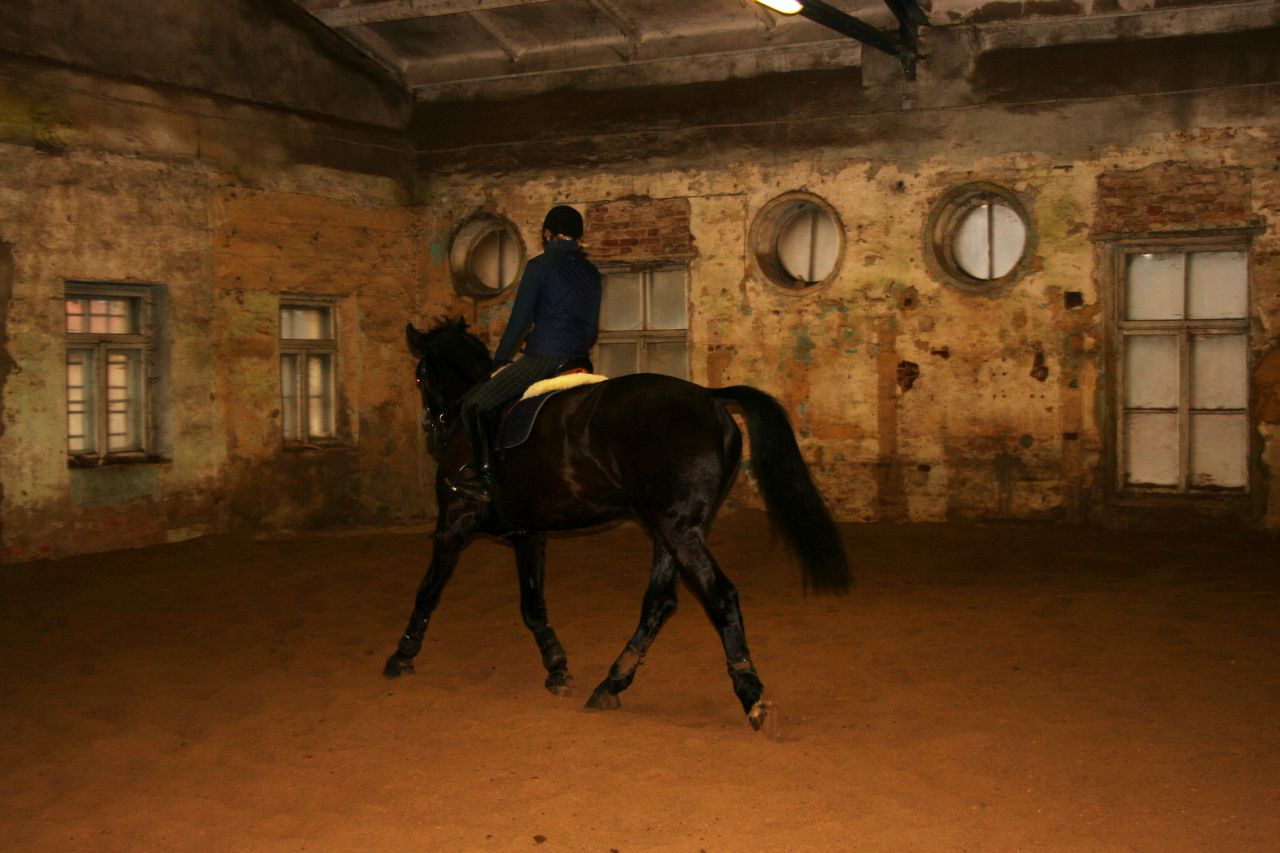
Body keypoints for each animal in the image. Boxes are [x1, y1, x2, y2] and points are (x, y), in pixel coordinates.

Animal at [384, 317, 851, 732]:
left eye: (420, 376)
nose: (432, 431)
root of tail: (709, 396)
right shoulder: (528, 534)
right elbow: (532, 606)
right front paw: (556, 666)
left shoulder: (454, 522)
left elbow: (428, 591)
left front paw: (403, 654)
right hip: (669, 527)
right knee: (660, 601)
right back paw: (612, 682)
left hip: (677, 530)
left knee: (720, 597)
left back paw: (753, 697)